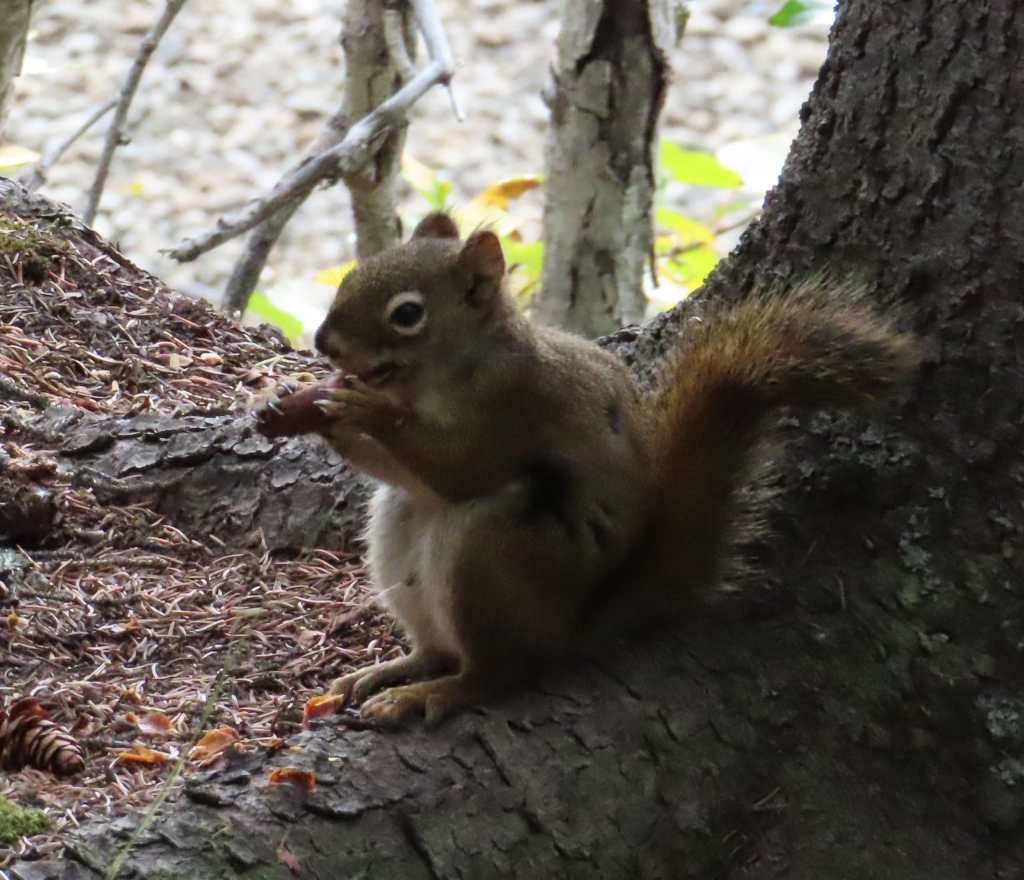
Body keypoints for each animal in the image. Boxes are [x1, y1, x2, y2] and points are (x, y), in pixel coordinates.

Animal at [261, 211, 921, 726]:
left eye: (407, 314)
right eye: (351, 275)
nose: (324, 343)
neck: (449, 370)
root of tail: (575, 628)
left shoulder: (511, 403)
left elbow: (459, 469)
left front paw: (360, 407)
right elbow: (405, 473)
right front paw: (293, 407)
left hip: (494, 549)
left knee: (500, 671)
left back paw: (430, 694)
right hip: (400, 534)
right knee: (437, 641)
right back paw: (389, 672)